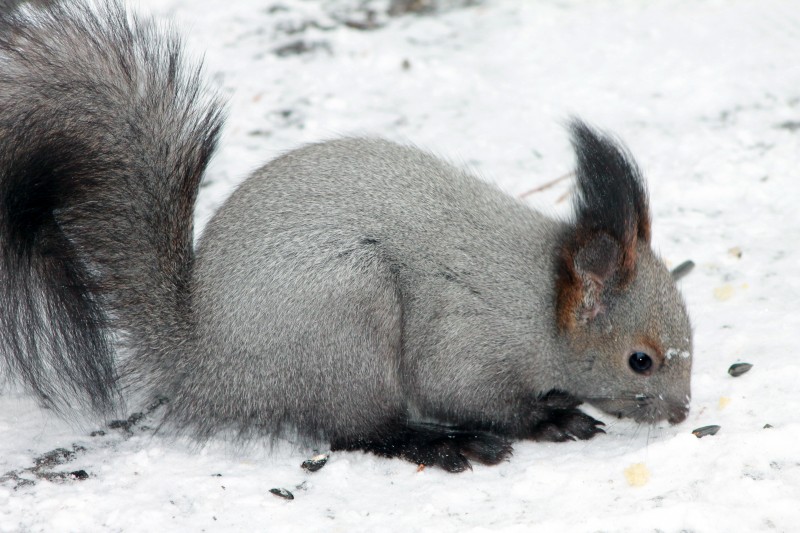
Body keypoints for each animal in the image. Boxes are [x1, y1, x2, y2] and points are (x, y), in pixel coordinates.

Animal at [0, 3, 692, 470]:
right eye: (641, 359)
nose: (683, 411)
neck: (543, 301)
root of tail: (207, 360)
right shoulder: (468, 342)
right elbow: (470, 395)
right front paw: (551, 418)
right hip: (349, 322)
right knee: (357, 431)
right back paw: (443, 443)